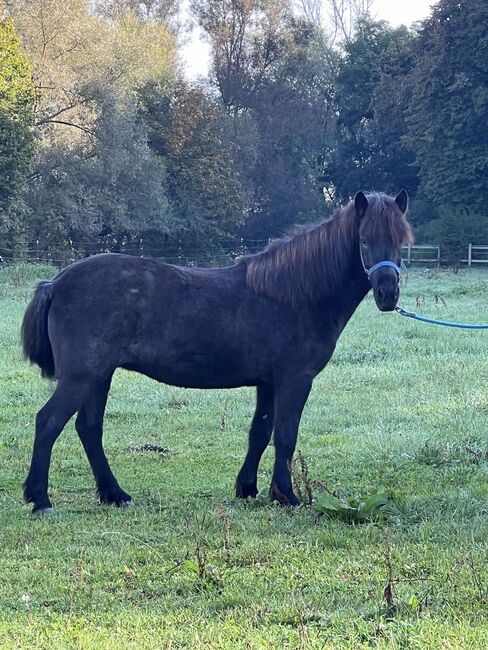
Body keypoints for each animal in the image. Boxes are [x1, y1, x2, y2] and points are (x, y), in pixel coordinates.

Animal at [21, 190, 412, 512]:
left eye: (400, 242)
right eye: (364, 240)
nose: (387, 294)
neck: (295, 295)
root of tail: (56, 282)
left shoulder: (268, 383)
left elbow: (260, 433)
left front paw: (249, 489)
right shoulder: (294, 380)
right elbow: (285, 436)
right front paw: (287, 495)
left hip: (99, 377)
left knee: (89, 429)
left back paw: (114, 494)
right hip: (82, 377)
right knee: (49, 422)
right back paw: (40, 499)